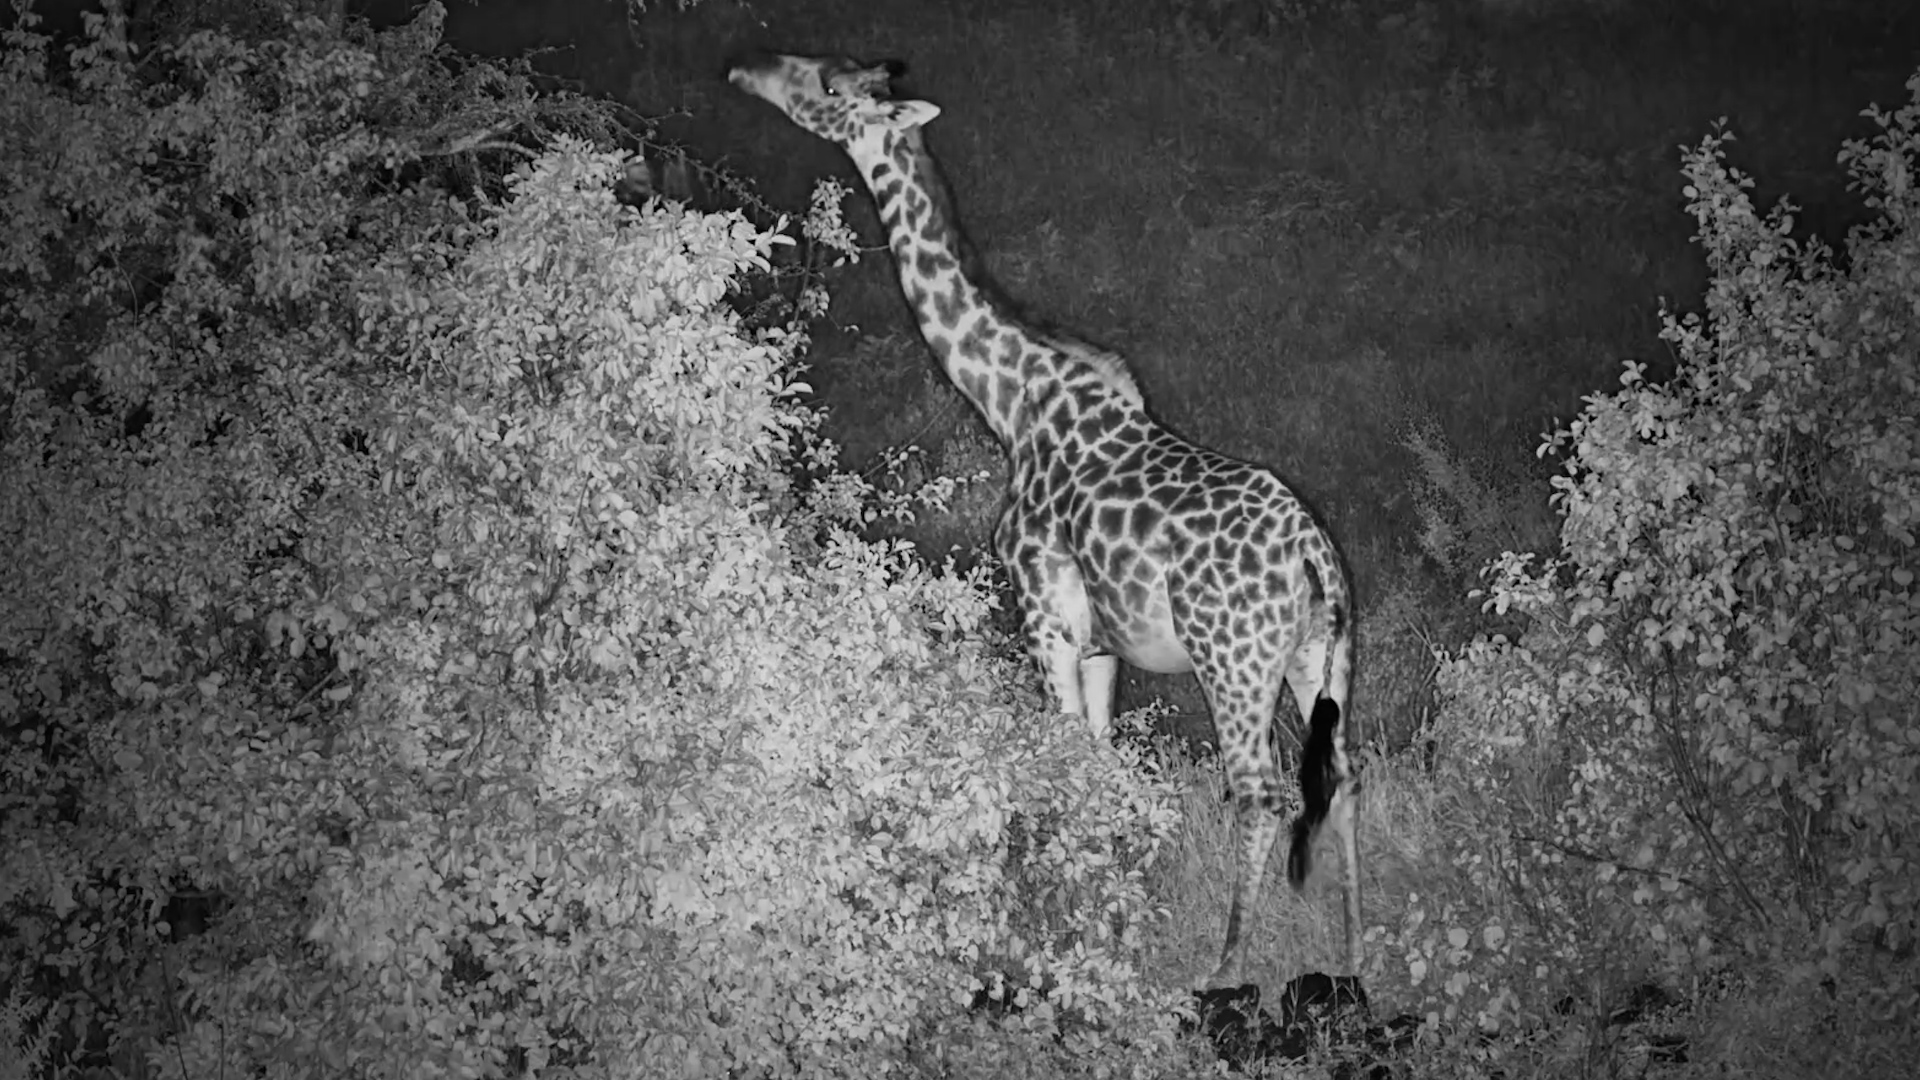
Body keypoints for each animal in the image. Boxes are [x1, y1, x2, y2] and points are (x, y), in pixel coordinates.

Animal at [728, 51, 1362, 987]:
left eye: (832, 87)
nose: (752, 69)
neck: (1009, 401)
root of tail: (1313, 555)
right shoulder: (1101, 644)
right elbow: (1100, 768)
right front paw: (1109, 923)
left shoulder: (1043, 617)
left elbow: (1063, 767)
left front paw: (1079, 944)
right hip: (1324, 655)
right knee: (1343, 779)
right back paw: (1354, 958)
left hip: (1234, 661)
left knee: (1261, 788)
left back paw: (1224, 971)